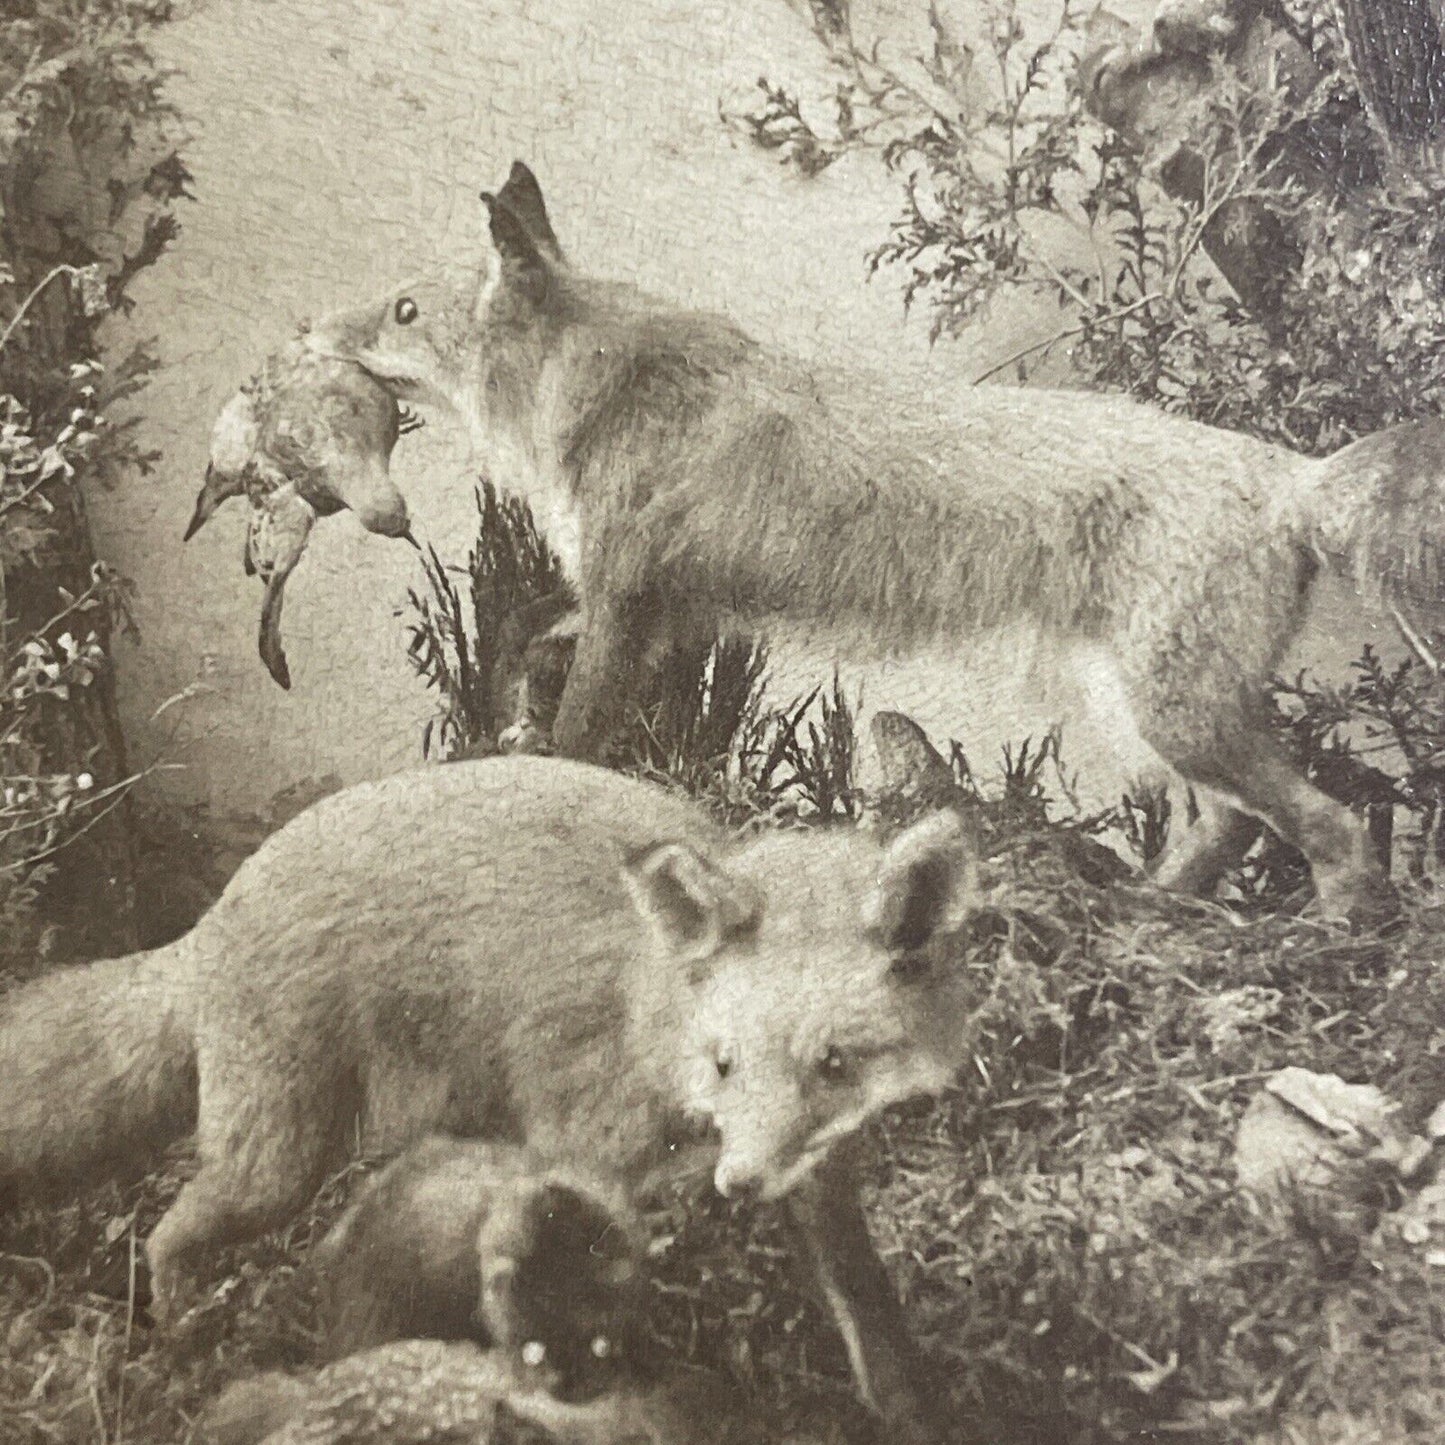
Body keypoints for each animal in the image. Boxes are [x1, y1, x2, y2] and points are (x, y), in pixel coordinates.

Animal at [0, 757, 982, 1445]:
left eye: (832, 1064)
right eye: (724, 1062)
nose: (738, 1185)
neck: (652, 1010)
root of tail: (214, 913)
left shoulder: (817, 1169)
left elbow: (868, 1308)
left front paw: (916, 1410)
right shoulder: (576, 1156)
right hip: (274, 1168)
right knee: (169, 1231)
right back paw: (180, 1345)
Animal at [304, 158, 1445, 913]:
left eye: (401, 309)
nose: (308, 331)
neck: (601, 397)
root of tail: (1287, 472)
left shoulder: (631, 605)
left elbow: (584, 736)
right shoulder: (654, 609)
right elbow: (524, 640)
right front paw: (505, 720)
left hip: (1179, 715)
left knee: (1335, 826)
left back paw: (1326, 942)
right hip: (1142, 715)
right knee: (1226, 825)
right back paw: (1149, 919)